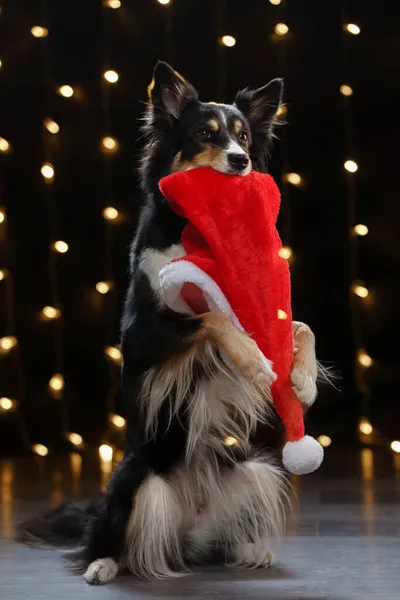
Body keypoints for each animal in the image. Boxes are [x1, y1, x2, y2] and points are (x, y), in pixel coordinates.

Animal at [18, 62, 318, 584]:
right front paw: (257, 363)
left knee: (217, 536)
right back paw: (102, 564)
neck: (194, 228)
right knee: (112, 537)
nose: (241, 160)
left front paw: (302, 379)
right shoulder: (142, 337)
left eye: (243, 135)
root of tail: (186, 531)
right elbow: (210, 318)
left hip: (249, 468)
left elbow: (300, 327)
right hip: (132, 480)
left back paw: (245, 547)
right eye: (205, 134)